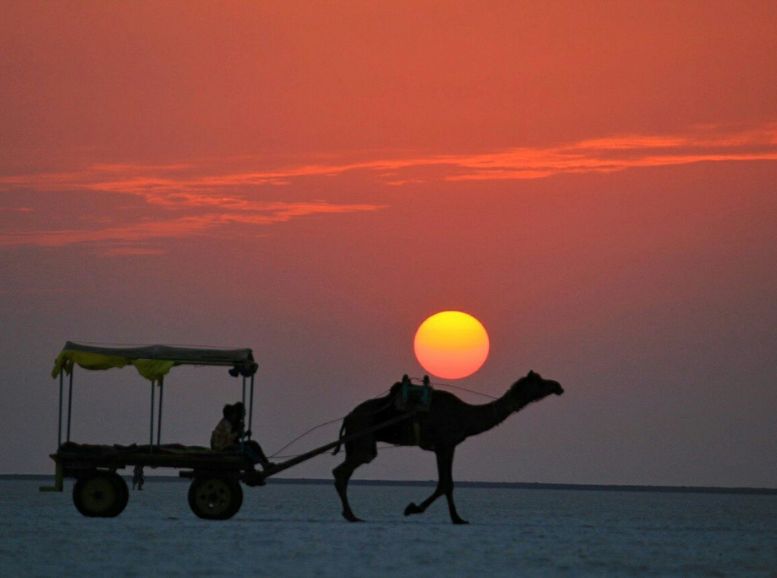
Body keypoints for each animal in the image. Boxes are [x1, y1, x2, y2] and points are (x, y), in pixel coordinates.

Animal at [330, 368, 560, 520]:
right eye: (540, 382)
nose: (558, 386)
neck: (466, 416)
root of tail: (348, 417)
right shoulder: (446, 444)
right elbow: (446, 484)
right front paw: (449, 516)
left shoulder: (444, 447)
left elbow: (445, 483)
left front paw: (443, 514)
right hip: (363, 437)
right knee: (343, 470)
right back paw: (352, 515)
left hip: (356, 441)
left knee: (344, 471)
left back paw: (348, 513)